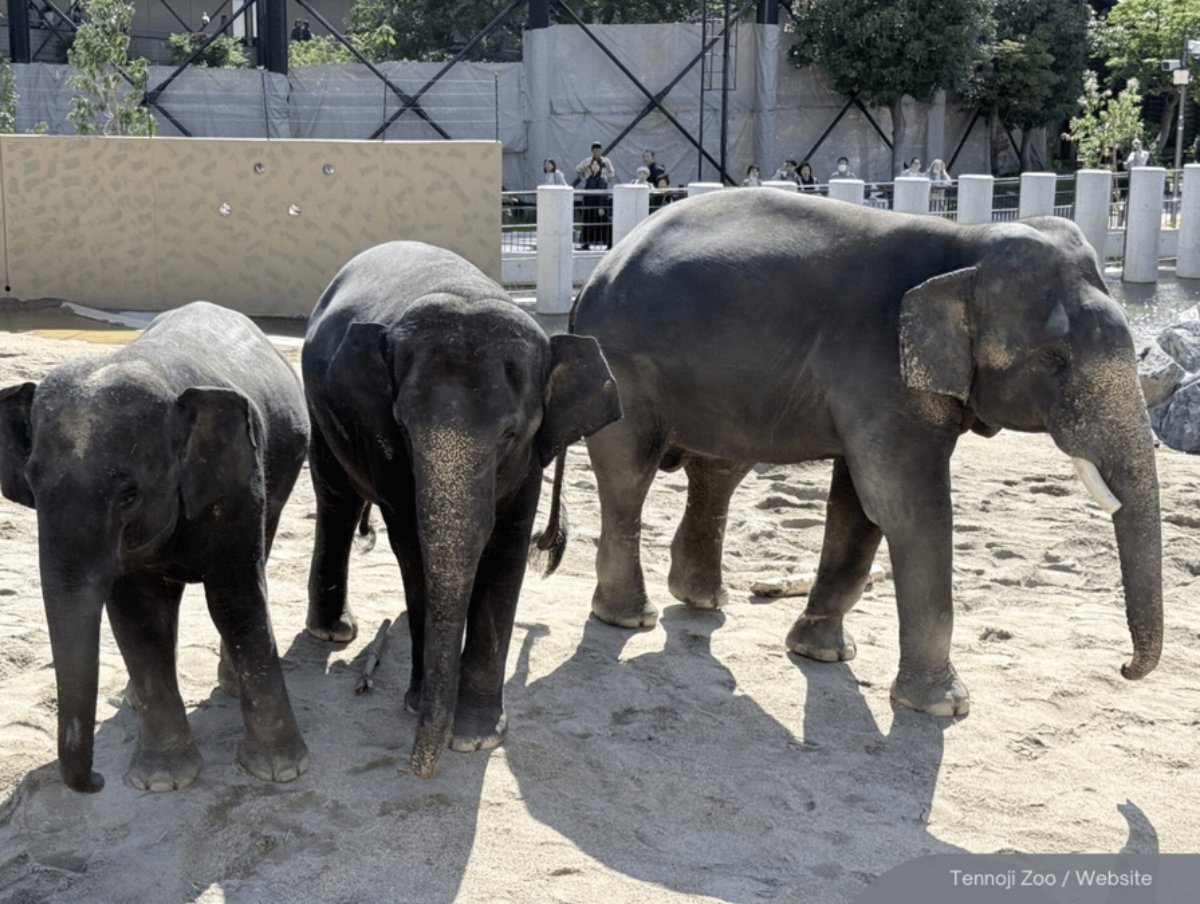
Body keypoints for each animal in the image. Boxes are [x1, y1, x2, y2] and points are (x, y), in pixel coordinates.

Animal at [0, 302, 311, 793]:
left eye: (129, 495)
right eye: (31, 484)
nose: (96, 781)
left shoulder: (241, 484)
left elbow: (236, 599)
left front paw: (280, 771)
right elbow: (137, 616)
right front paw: (162, 781)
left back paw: (228, 688)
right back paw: (130, 699)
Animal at [301, 241, 621, 778]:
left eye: (511, 434)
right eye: (403, 429)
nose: (419, 769)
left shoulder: (530, 460)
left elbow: (508, 551)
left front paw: (474, 737)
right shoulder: (385, 445)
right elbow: (412, 550)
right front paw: (420, 707)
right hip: (319, 408)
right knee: (337, 497)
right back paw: (334, 632)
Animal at [565, 189, 1161, 718]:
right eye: (1056, 359)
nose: (1124, 669)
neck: (965, 245)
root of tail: (598, 269)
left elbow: (860, 505)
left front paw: (823, 653)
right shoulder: (877, 370)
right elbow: (907, 507)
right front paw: (943, 706)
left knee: (720, 469)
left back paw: (703, 600)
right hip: (623, 364)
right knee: (629, 472)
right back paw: (629, 618)